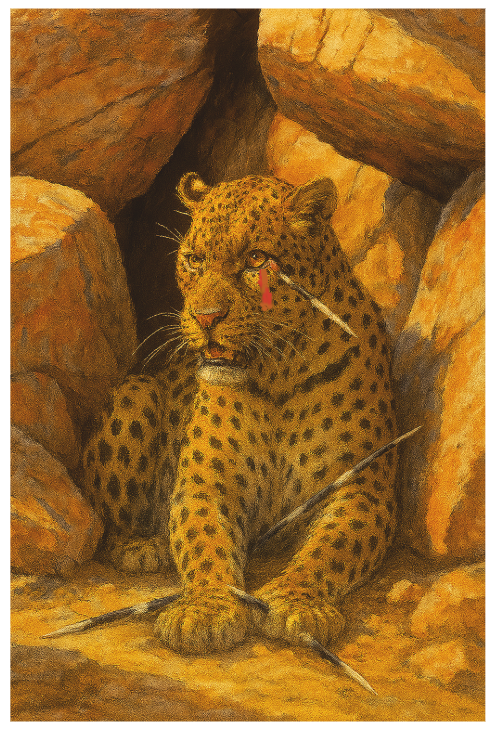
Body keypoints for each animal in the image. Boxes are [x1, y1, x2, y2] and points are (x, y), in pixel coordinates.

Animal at [81, 172, 397, 655]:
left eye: (255, 259)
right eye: (193, 260)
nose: (206, 317)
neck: (278, 375)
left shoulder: (363, 487)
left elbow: (330, 547)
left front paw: (294, 601)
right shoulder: (206, 483)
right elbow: (205, 543)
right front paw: (205, 610)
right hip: (134, 393)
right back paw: (141, 546)